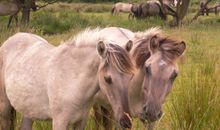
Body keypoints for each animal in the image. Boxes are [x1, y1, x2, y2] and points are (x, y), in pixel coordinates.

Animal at [0, 29, 135, 129]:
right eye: (108, 79)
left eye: (131, 77)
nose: (126, 121)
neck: (73, 80)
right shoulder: (60, 122)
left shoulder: (81, 122)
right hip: (5, 109)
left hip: (29, 111)